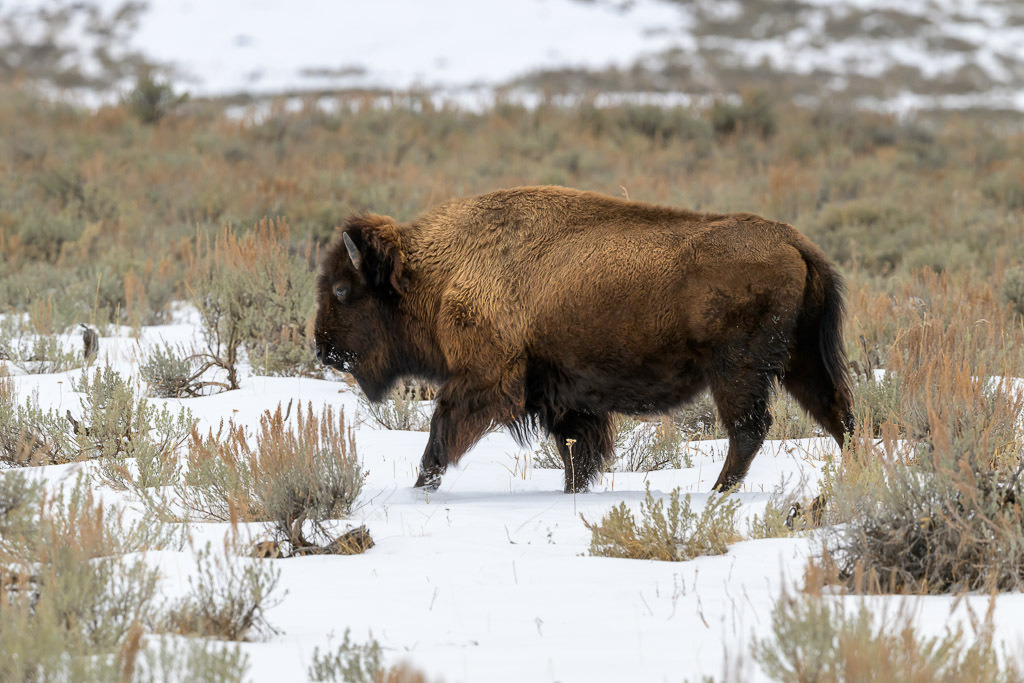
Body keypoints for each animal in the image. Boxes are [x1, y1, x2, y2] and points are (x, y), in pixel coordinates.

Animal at [315, 186, 854, 492]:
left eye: (342, 290)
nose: (324, 350)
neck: (437, 269)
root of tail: (795, 242)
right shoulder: (564, 394)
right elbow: (578, 446)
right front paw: (574, 490)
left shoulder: (487, 378)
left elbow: (441, 429)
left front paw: (422, 485)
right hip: (801, 361)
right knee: (838, 413)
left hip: (738, 371)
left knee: (750, 428)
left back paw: (720, 494)